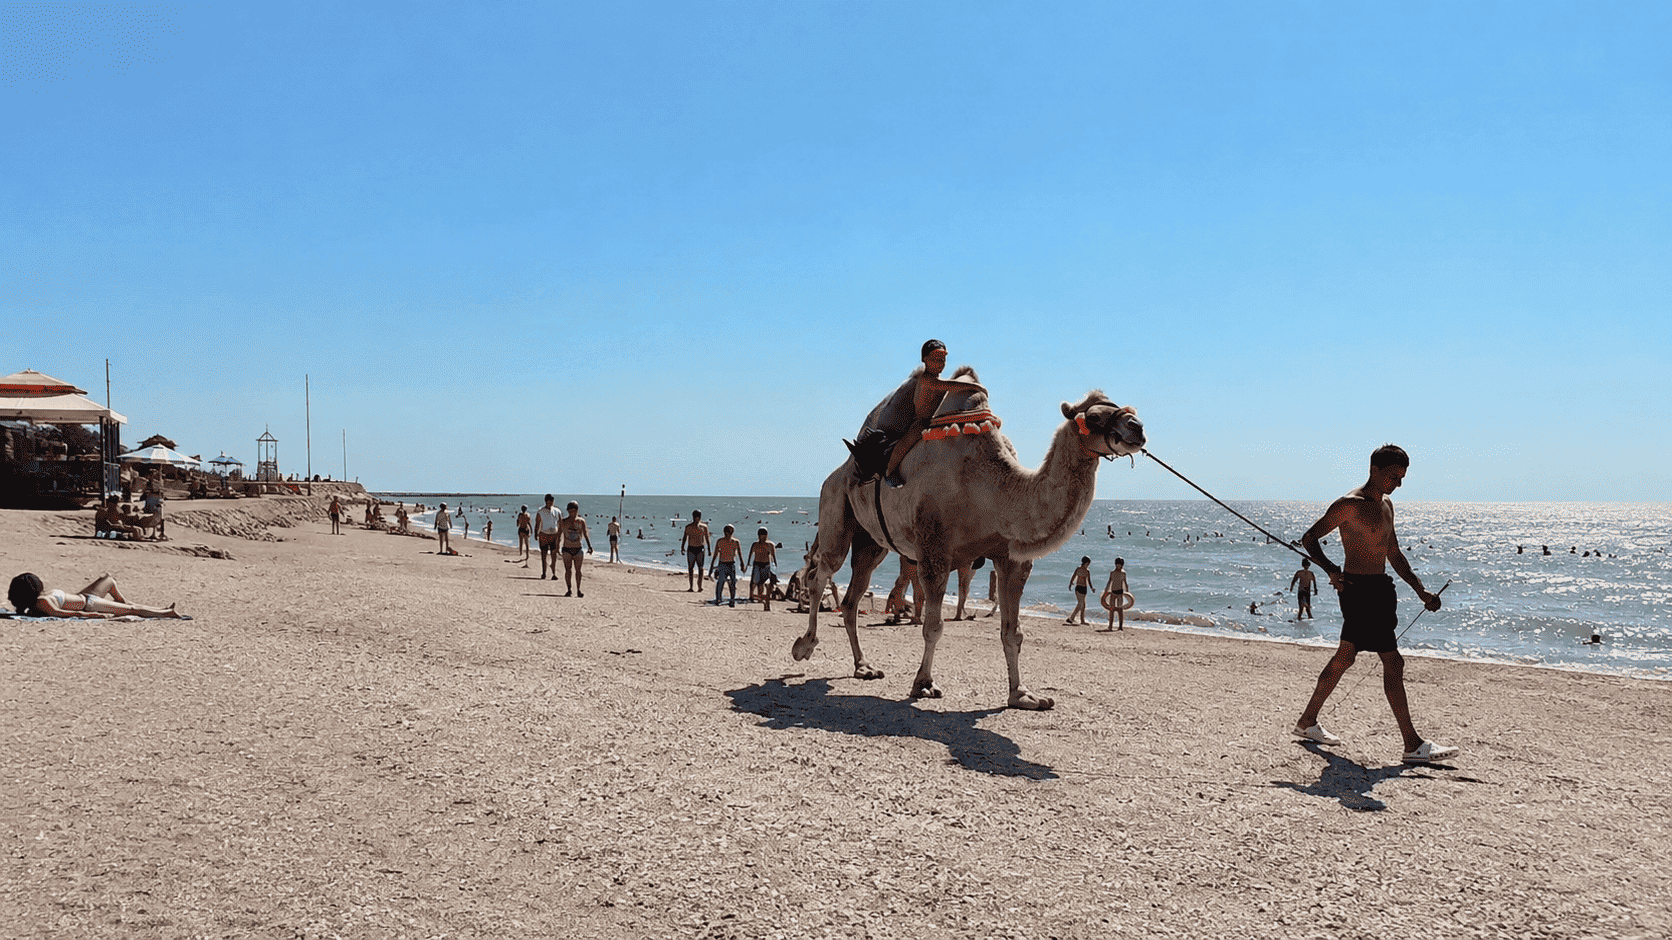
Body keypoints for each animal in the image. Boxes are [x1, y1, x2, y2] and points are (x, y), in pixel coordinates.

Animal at [791, 368, 1145, 709]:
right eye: (1095, 418)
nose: (1137, 427)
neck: (995, 489)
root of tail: (841, 470)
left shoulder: (1010, 558)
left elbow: (1012, 633)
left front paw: (1022, 695)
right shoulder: (934, 550)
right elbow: (933, 627)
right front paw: (924, 684)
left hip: (872, 543)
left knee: (852, 596)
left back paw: (863, 666)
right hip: (835, 506)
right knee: (820, 574)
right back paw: (804, 646)